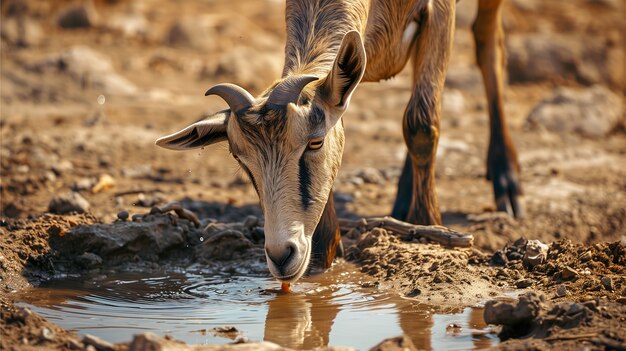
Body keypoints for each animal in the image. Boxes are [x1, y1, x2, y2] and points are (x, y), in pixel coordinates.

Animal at [155, 0, 516, 284]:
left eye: (315, 142)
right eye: (240, 158)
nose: (282, 255)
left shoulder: (441, 11)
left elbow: (421, 123)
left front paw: (431, 226)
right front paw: (323, 257)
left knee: (489, 43)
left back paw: (507, 183)